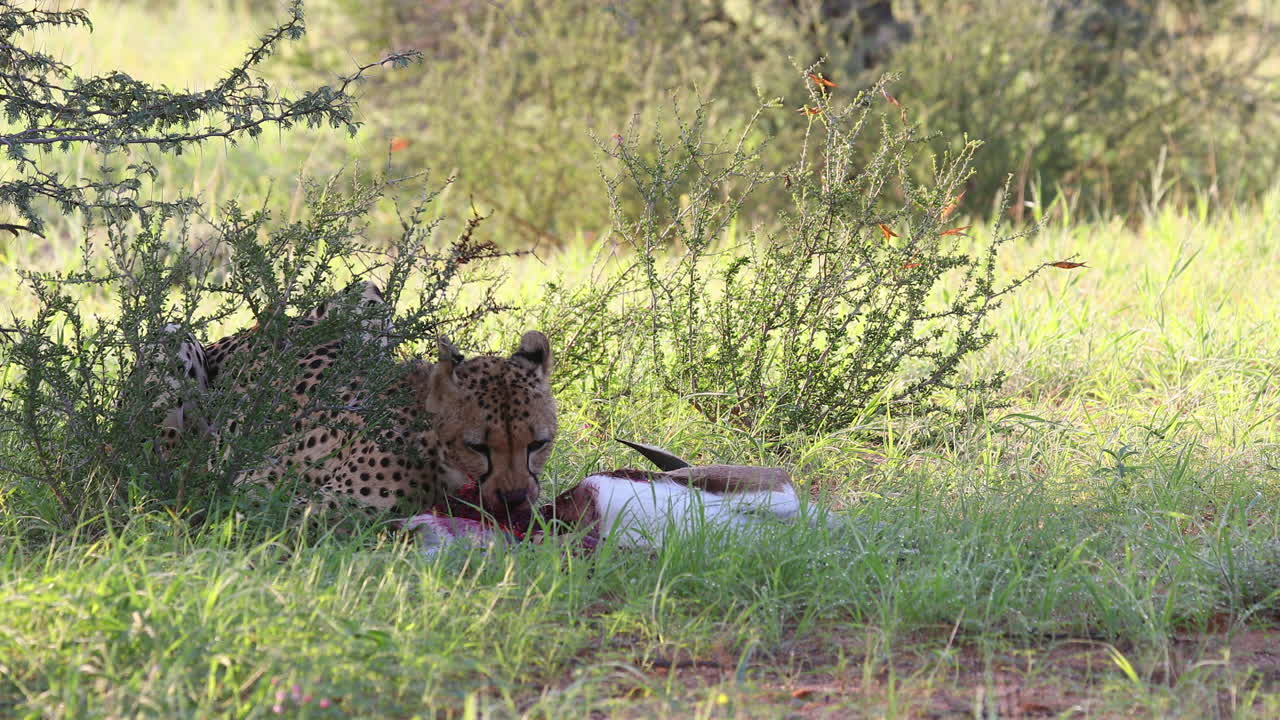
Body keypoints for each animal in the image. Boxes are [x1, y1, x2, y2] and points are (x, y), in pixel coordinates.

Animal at [144, 281, 557, 521]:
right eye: (478, 447)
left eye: (538, 444)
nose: (515, 497)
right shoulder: (300, 503)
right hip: (174, 338)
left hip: (367, 293)